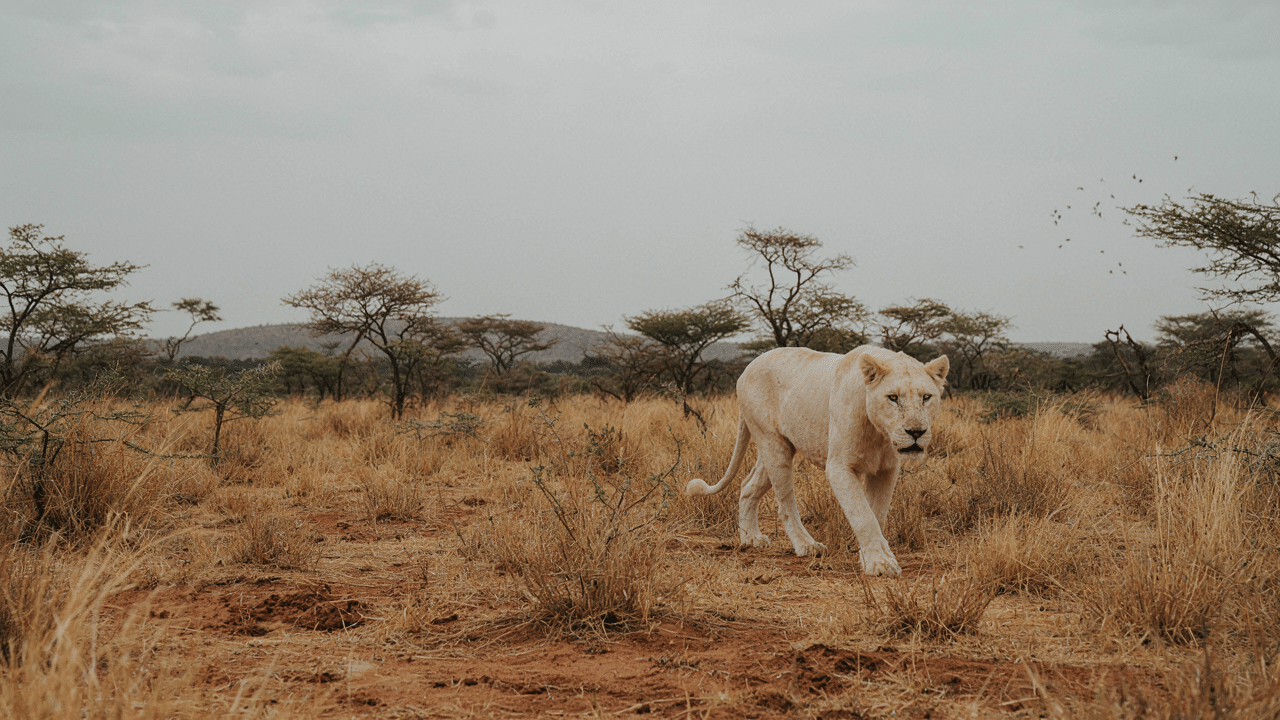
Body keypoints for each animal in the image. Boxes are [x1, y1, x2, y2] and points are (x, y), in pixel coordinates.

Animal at [686, 346, 949, 576]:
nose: (916, 432)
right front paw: (880, 563)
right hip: (773, 446)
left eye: (926, 397)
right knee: (785, 503)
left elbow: (877, 514)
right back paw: (807, 545)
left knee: (748, 487)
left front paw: (871, 557)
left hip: (774, 449)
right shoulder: (839, 467)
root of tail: (748, 367)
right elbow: (863, 516)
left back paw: (750, 539)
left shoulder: (886, 469)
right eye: (893, 397)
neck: (880, 433)